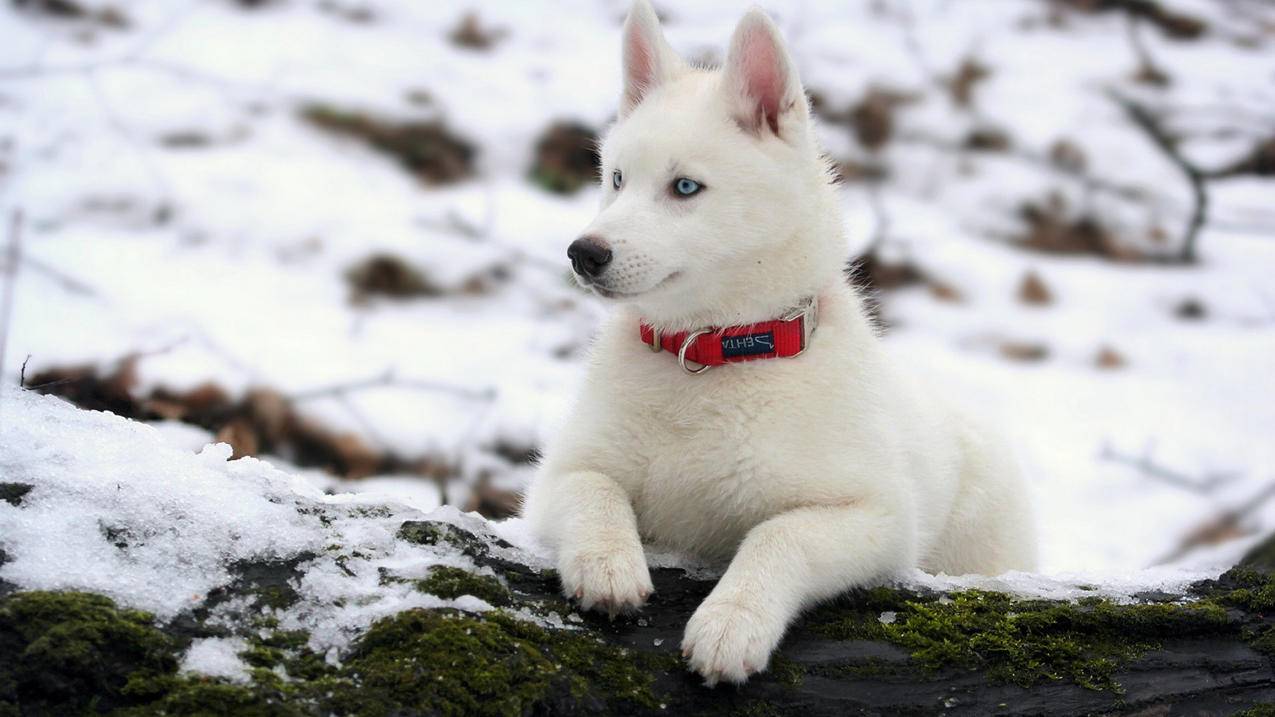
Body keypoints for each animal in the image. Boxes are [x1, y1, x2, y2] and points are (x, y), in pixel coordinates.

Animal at [520, 0, 1035, 678]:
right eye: (618, 179)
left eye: (685, 187)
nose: (583, 253)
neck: (710, 353)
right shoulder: (557, 476)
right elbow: (593, 490)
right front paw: (607, 565)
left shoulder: (876, 517)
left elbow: (778, 535)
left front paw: (731, 623)